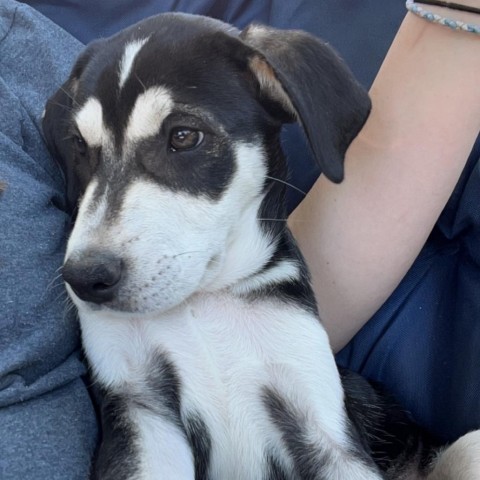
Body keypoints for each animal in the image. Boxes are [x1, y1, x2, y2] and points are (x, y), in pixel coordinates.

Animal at [42, 12, 480, 480]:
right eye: (79, 146)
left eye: (183, 136)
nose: (85, 278)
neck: (204, 300)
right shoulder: (141, 411)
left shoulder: (321, 425)